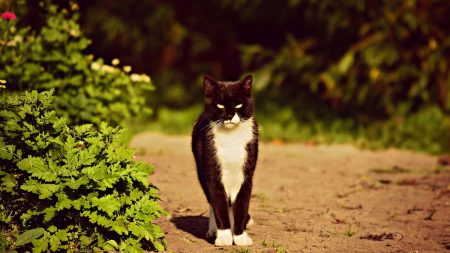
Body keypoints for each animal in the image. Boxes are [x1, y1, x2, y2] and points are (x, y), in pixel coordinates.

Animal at [192, 74, 258, 246]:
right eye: (220, 105)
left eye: (239, 104)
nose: (229, 116)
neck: (231, 139)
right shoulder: (212, 173)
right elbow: (218, 204)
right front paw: (224, 237)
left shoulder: (246, 175)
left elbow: (241, 206)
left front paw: (240, 237)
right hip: (200, 171)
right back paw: (213, 231)